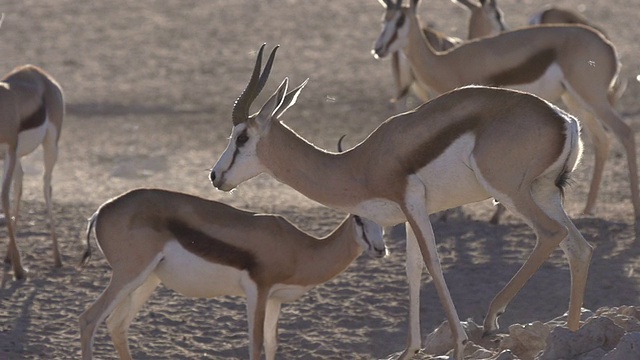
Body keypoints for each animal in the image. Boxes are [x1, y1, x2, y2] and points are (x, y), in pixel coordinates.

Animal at [0, 63, 65, 280]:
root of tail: (34, 70)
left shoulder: (10, 149)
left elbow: (4, 196)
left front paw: (19, 270)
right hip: (16, 159)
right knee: (20, 185)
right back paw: (8, 257)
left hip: (50, 146)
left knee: (46, 186)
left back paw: (57, 259)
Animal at [77, 188, 388, 360]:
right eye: (358, 218)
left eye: (383, 218)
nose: (380, 249)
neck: (299, 248)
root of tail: (101, 210)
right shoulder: (258, 291)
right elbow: (255, 345)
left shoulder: (275, 299)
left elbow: (272, 345)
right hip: (129, 275)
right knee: (89, 319)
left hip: (146, 281)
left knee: (116, 325)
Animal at [211, 43, 596, 358]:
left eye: (242, 136)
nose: (216, 176)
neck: (360, 163)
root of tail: (564, 119)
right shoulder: (411, 213)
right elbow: (413, 270)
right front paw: (410, 350)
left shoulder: (412, 203)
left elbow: (433, 264)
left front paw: (459, 345)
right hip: (544, 193)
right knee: (579, 248)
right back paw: (572, 333)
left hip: (511, 193)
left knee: (551, 235)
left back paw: (491, 321)